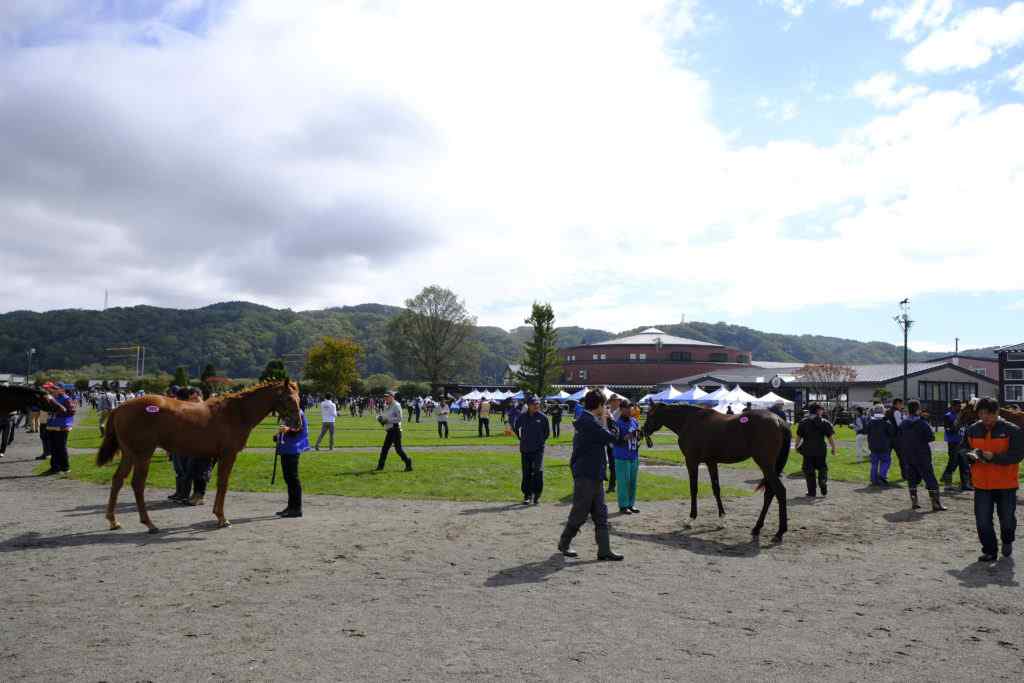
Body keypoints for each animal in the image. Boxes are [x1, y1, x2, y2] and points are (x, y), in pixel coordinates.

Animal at [96, 378, 301, 532]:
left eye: (299, 397)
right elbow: (223, 484)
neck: (236, 412)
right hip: (143, 454)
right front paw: (222, 518)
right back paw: (149, 524)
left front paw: (217, 514)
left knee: (117, 480)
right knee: (137, 484)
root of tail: (120, 407)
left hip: (129, 454)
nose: (297, 424)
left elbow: (218, 483)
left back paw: (113, 521)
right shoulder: (228, 455)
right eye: (289, 398)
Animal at [638, 403, 790, 540]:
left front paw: (690, 519)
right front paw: (722, 520)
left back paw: (779, 532)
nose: (642, 430)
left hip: (765, 464)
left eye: (650, 414)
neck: (689, 421)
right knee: (770, 493)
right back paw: (757, 528)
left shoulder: (692, 461)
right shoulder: (711, 462)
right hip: (769, 467)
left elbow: (693, 488)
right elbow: (716, 489)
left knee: (780, 491)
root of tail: (778, 420)